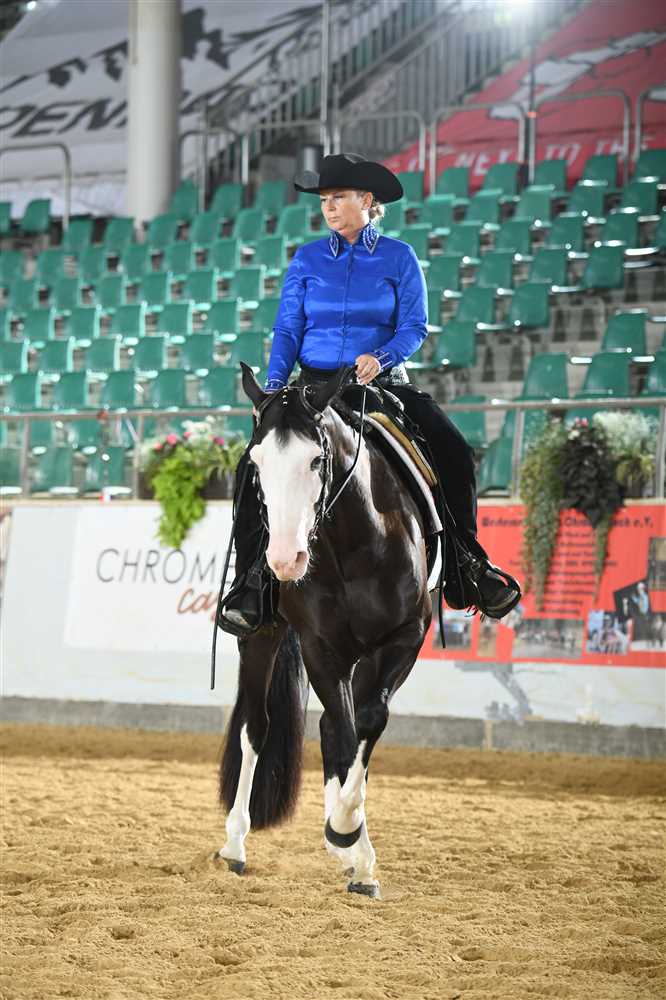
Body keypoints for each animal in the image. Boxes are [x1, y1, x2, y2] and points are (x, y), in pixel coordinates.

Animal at [218, 364, 434, 897]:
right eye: (257, 463)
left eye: (317, 460)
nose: (283, 560)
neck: (350, 543)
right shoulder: (320, 646)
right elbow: (343, 730)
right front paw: (348, 836)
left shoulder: (404, 637)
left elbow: (365, 723)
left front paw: (349, 839)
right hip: (263, 635)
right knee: (256, 727)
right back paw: (234, 845)